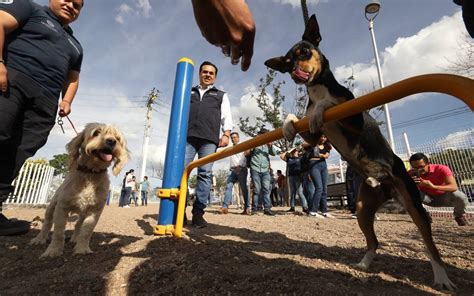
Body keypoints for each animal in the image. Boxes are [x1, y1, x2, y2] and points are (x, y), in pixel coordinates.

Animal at [30, 122, 129, 256]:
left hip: (83, 213)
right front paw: (53, 250)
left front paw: (82, 248)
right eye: (96, 133)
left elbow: (86, 232)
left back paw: (75, 239)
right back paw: (39, 239)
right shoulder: (62, 208)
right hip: (52, 206)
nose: (112, 141)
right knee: (47, 223)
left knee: (78, 225)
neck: (91, 174)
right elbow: (58, 233)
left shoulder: (94, 211)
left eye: (117, 138)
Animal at [266, 15, 456, 290]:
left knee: (430, 245)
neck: (318, 90)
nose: (294, 73)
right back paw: (365, 264)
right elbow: (298, 120)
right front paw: (288, 125)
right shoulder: (314, 137)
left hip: (414, 205)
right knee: (373, 241)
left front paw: (318, 109)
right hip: (363, 208)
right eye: (288, 62)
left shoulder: (353, 120)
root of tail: (385, 184)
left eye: (304, 51)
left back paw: (441, 277)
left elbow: (327, 105)